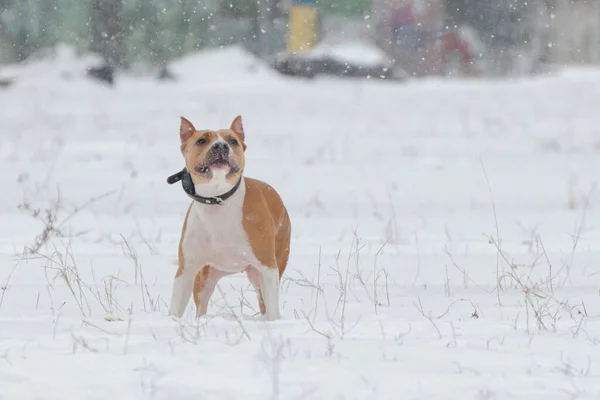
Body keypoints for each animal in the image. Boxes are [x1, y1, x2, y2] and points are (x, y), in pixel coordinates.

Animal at [168, 114, 292, 320]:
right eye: (202, 140)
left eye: (232, 141)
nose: (220, 146)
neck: (217, 201)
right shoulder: (187, 269)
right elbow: (176, 307)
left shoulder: (267, 267)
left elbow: (272, 306)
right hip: (205, 277)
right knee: (202, 304)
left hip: (265, 269)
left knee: (264, 303)